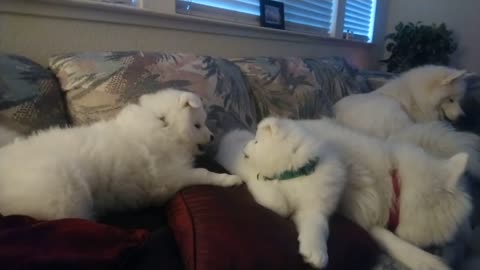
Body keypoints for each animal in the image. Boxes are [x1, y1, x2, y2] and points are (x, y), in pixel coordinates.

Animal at [0, 89, 240, 220]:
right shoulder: (171, 177)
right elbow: (203, 173)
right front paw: (229, 179)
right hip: (64, 197)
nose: (212, 137)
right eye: (198, 125)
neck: (166, 127)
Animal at [216, 117, 346, 268]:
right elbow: (277, 202)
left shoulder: (314, 208)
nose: (243, 147)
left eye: (256, 141)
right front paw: (286, 209)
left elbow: (316, 226)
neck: (293, 175)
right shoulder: (258, 180)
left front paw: (316, 253)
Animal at [296, 118, 472, 270]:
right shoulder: (357, 212)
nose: (464, 248)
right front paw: (427, 261)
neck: (394, 184)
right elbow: (386, 236)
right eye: (456, 232)